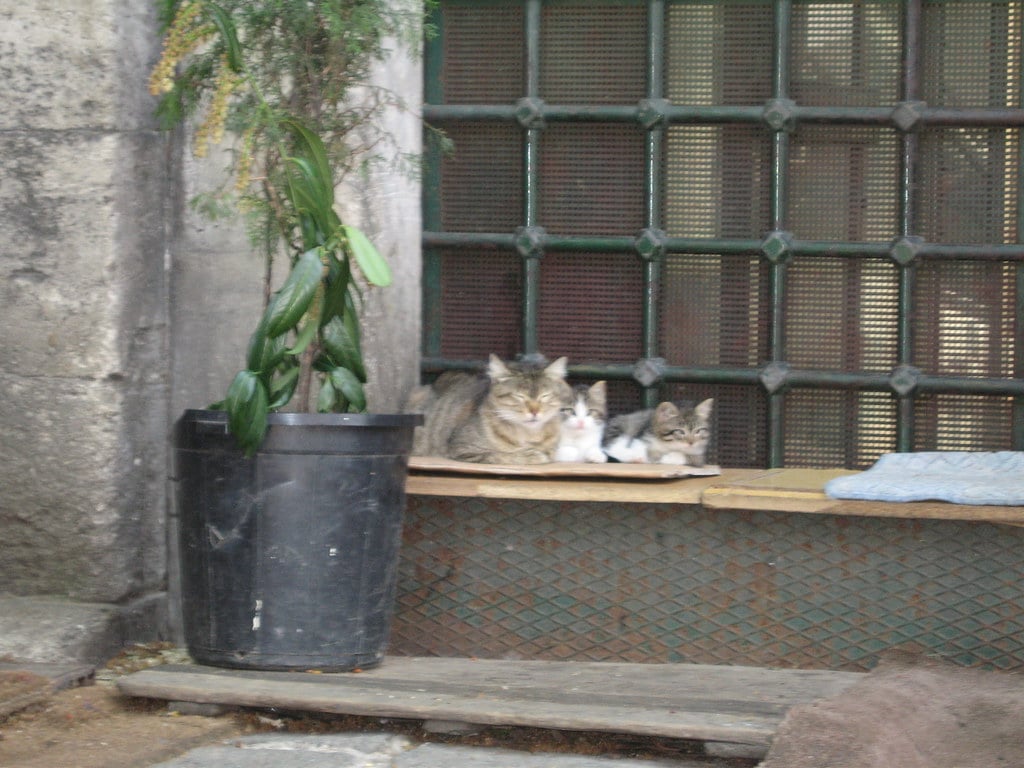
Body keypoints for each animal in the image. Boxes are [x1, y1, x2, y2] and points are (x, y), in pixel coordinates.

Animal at [405, 358, 573, 466]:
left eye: (545, 395)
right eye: (519, 396)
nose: (534, 411)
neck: (528, 434)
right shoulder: (463, 449)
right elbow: (501, 456)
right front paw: (531, 455)